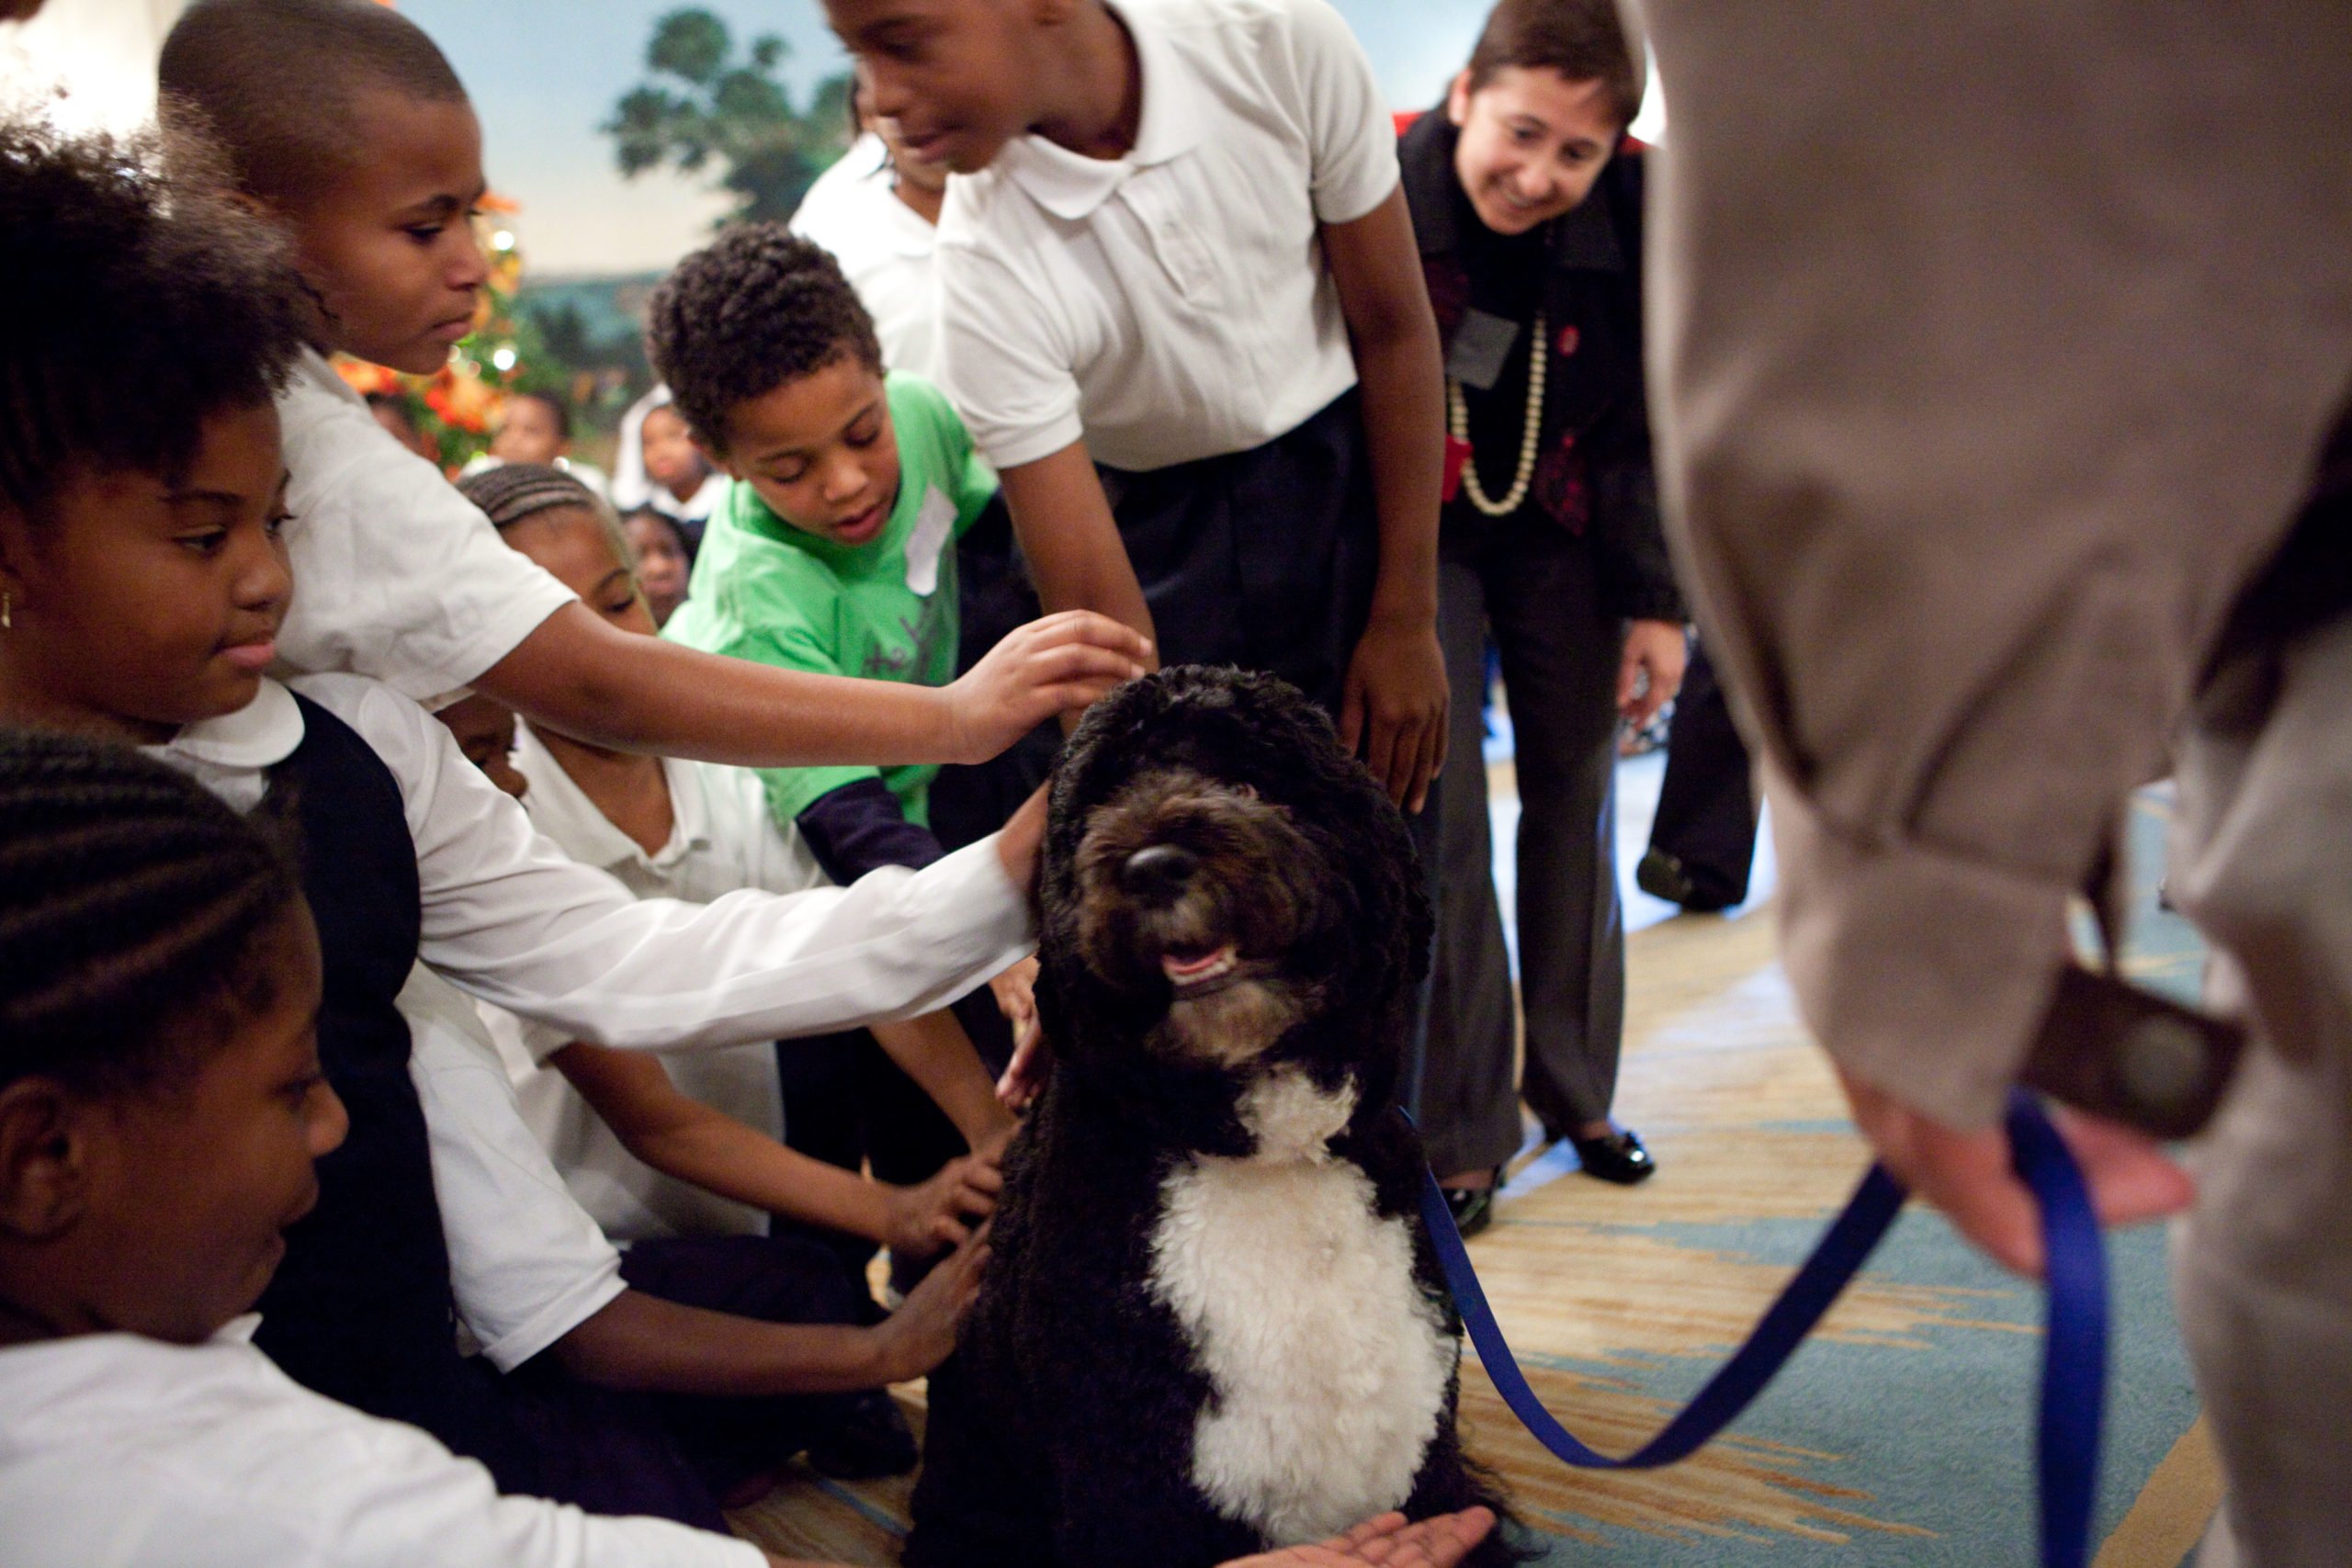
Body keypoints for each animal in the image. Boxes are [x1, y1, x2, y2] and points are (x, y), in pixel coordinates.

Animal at [908, 667, 1514, 1568]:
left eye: (1250, 781)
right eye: (1097, 806)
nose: (1154, 865)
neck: (1267, 1153)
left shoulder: (1428, 1461)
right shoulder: (1126, 1493)